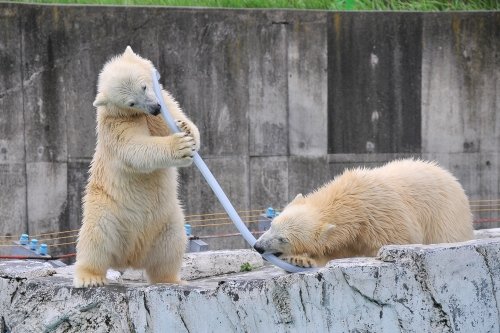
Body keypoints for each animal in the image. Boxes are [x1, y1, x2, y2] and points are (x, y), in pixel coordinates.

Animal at [74, 45, 199, 286]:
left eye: (144, 86)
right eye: (131, 102)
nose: (155, 107)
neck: (135, 114)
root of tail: (130, 258)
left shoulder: (161, 103)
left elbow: (172, 118)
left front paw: (186, 130)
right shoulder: (116, 125)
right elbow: (134, 148)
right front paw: (179, 145)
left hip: (167, 219)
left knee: (172, 245)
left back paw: (171, 279)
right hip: (106, 209)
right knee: (96, 238)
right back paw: (90, 277)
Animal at [254, 159, 472, 268]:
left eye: (283, 239)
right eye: (272, 225)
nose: (258, 246)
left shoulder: (383, 219)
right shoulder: (350, 236)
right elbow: (336, 252)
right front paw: (303, 260)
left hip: (445, 215)